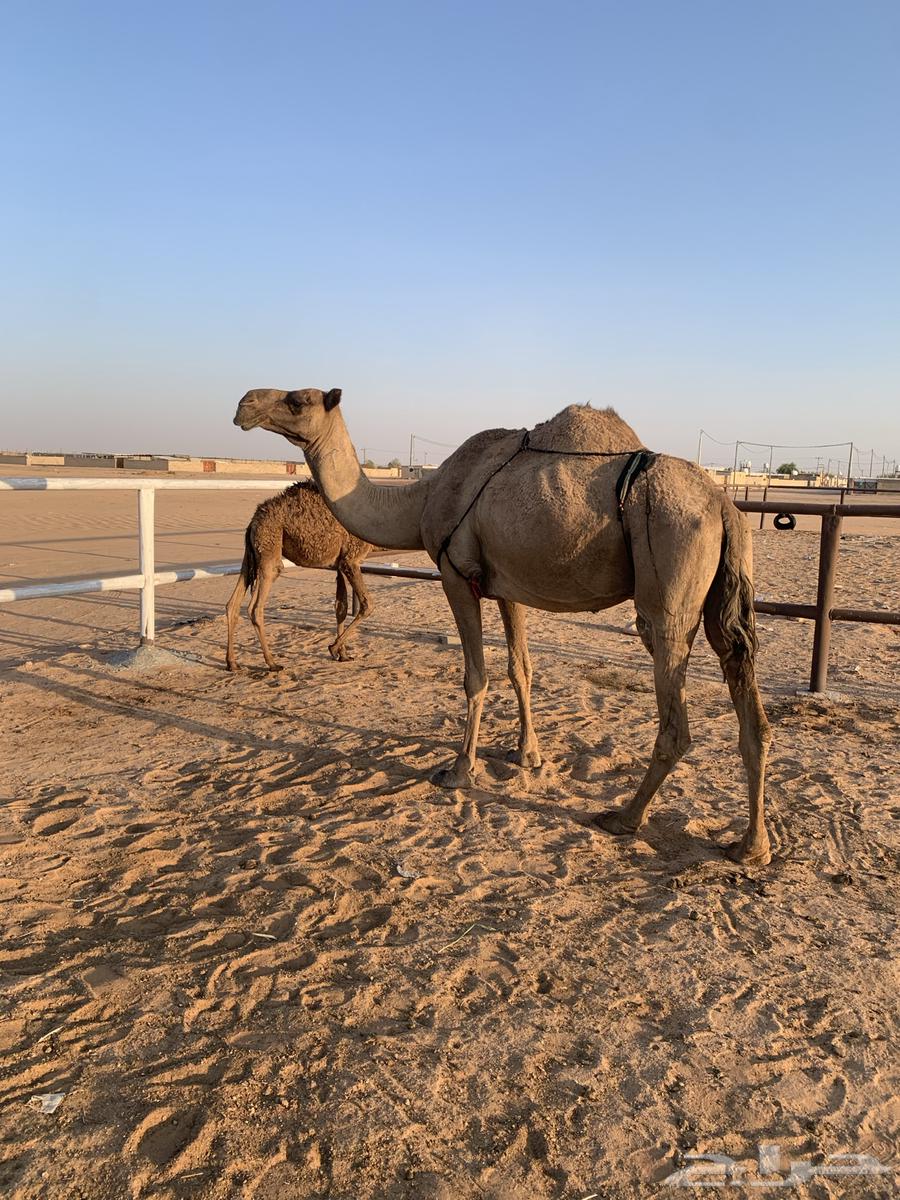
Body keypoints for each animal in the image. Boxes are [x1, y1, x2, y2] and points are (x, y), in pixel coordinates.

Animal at [224, 480, 374, 672]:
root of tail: (253, 521)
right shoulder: (351, 560)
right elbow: (367, 605)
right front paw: (333, 648)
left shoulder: (340, 563)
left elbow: (341, 607)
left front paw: (343, 655)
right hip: (269, 545)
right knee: (256, 608)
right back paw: (272, 663)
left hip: (252, 553)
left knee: (233, 604)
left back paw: (232, 663)